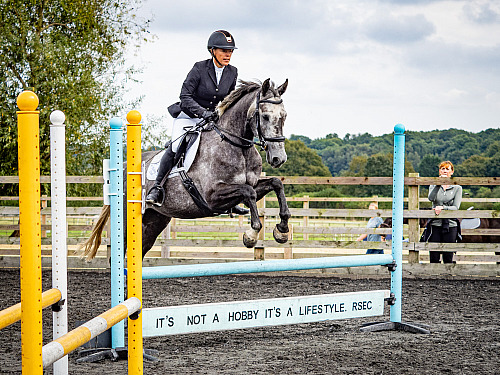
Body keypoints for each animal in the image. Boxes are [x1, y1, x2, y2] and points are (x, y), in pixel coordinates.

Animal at [80, 78, 292, 262]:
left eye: (284, 117)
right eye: (265, 116)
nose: (278, 158)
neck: (237, 146)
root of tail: (123, 169)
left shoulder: (249, 187)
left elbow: (275, 183)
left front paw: (282, 229)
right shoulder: (212, 197)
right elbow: (248, 192)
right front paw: (251, 234)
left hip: (154, 220)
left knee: (139, 252)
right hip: (127, 219)